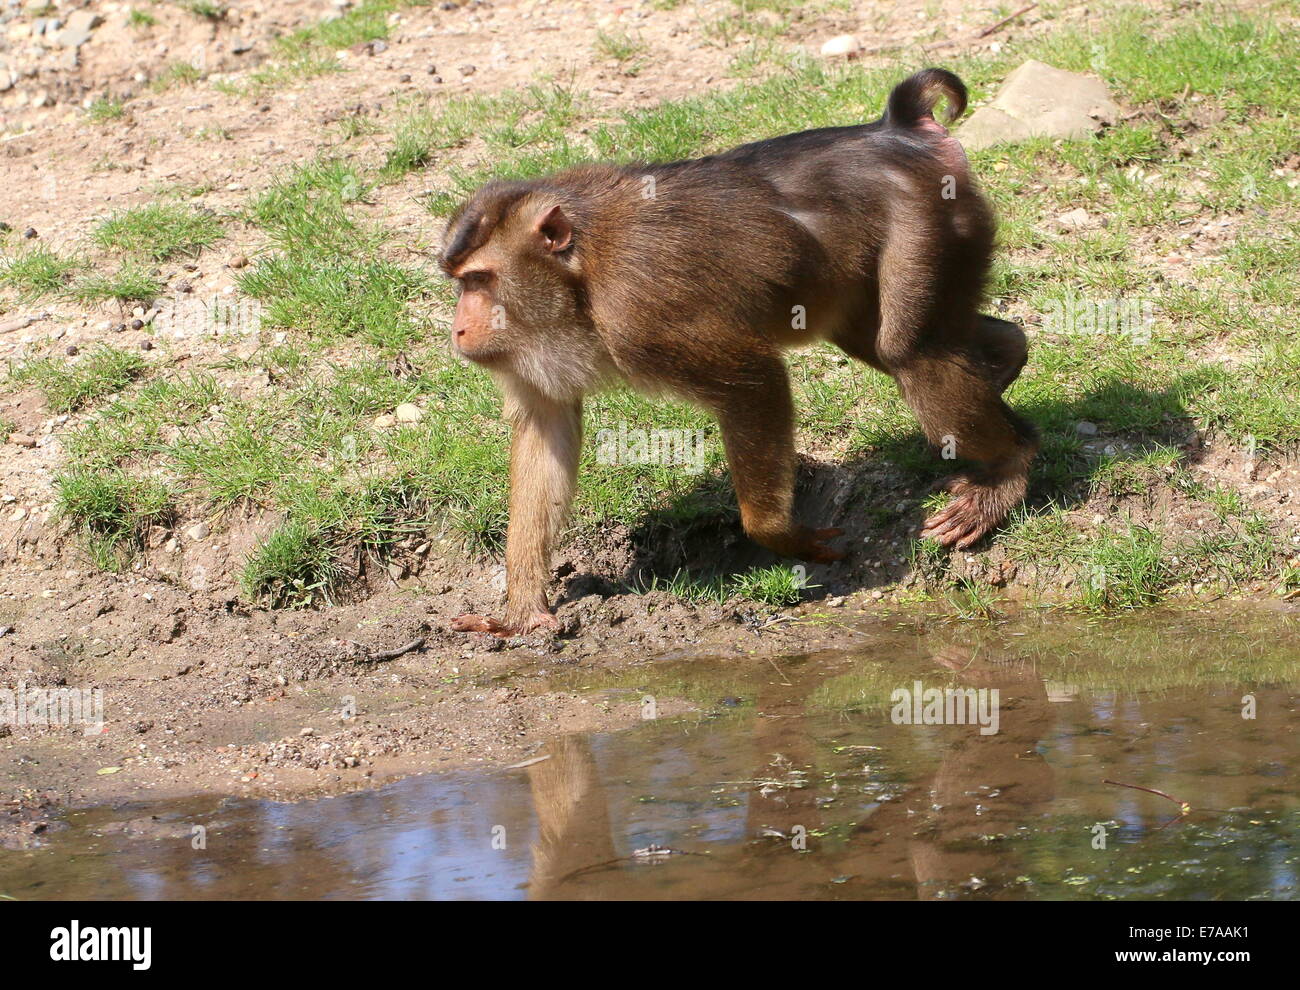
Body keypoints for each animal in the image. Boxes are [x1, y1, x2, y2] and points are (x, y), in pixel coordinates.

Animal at [441, 71, 1040, 639]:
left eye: (480, 280)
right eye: (460, 282)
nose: (460, 328)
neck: (579, 276)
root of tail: (897, 130)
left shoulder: (639, 310)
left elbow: (755, 381)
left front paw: (784, 538)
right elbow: (545, 436)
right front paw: (522, 612)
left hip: (927, 214)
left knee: (909, 351)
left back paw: (1005, 470)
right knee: (890, 342)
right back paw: (1006, 359)